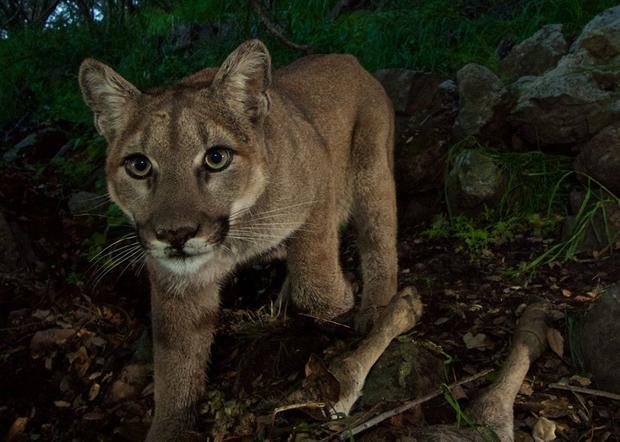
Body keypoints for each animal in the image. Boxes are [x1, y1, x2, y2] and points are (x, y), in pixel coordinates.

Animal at [80, 39, 398, 440]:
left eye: (216, 158)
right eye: (139, 165)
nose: (175, 234)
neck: (235, 236)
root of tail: (347, 58)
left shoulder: (318, 177)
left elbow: (316, 283)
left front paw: (338, 302)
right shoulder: (177, 283)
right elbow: (175, 366)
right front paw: (171, 428)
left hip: (373, 172)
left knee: (380, 241)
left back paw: (375, 308)